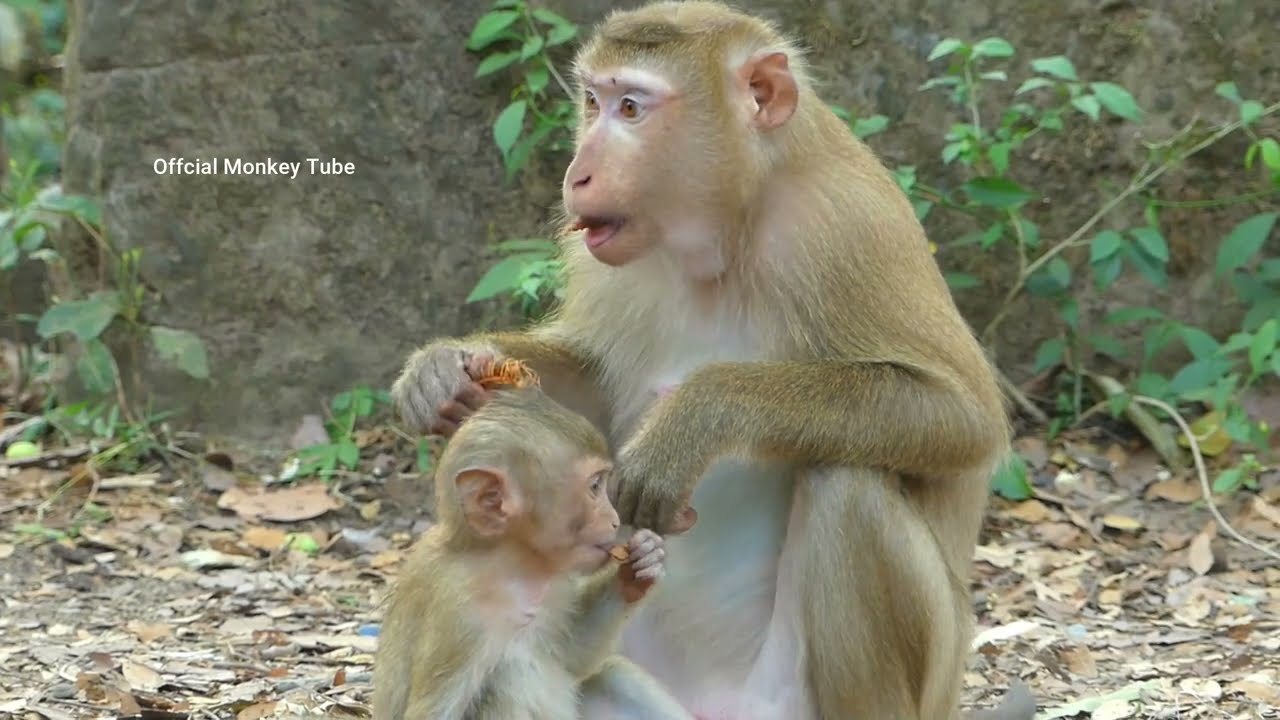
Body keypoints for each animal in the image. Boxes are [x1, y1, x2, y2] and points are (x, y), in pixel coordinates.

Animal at [371, 387, 694, 720]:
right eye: (595, 486)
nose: (615, 520)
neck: (509, 568)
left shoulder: (554, 583)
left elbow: (574, 655)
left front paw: (641, 564)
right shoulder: (459, 618)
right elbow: (432, 712)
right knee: (508, 678)